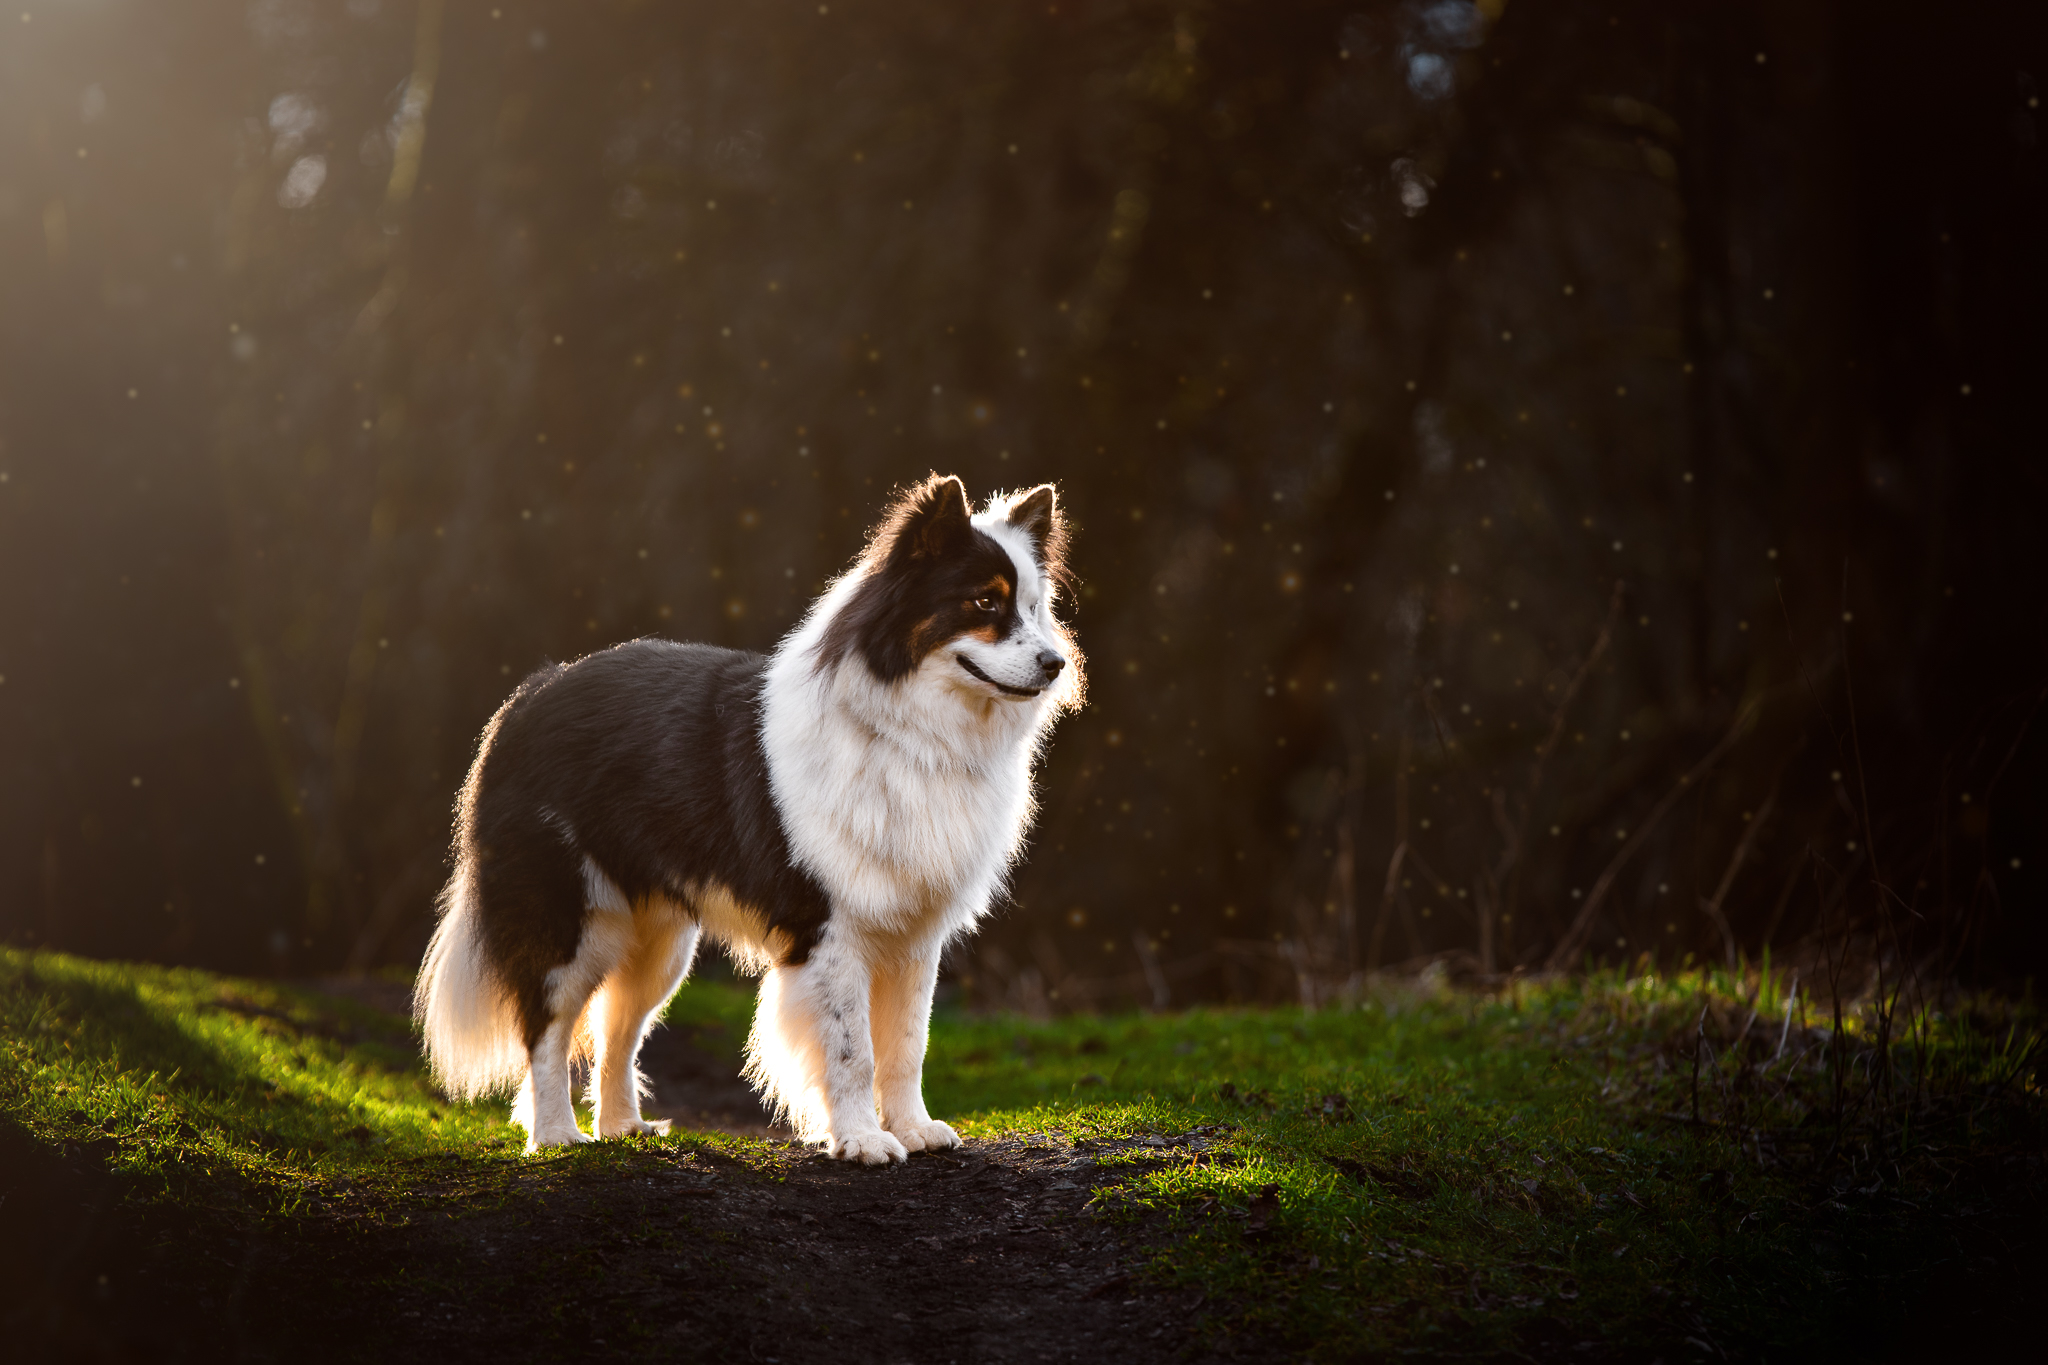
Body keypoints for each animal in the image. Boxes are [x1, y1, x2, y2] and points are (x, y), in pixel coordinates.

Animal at [419, 478, 1089, 1162]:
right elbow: (852, 1051)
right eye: (984, 602)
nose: (1055, 663)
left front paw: (914, 1129)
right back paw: (556, 1136)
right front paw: (861, 1140)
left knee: (617, 1030)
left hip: (659, 944)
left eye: (1034, 608)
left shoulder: (912, 937)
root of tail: (532, 692)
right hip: (573, 922)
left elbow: (906, 1045)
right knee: (546, 1026)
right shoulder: (830, 928)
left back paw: (623, 1128)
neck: (912, 734)